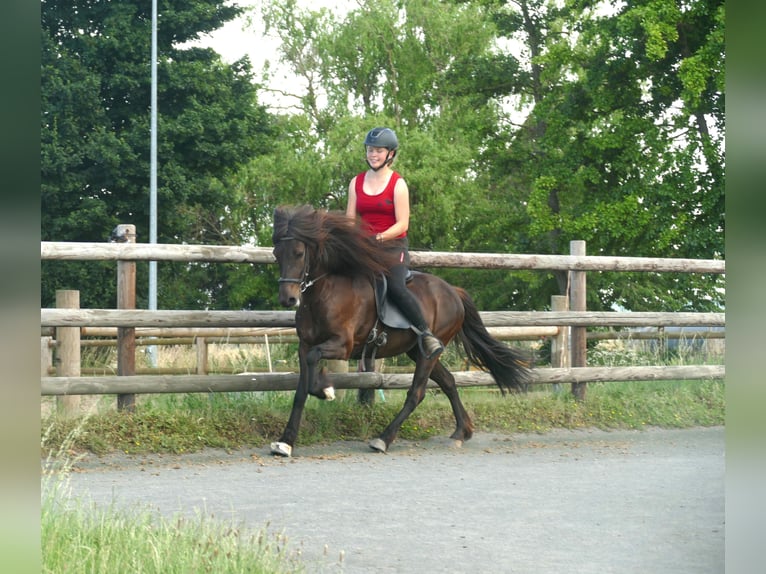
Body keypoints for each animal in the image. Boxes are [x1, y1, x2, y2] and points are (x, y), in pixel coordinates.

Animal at [270, 204, 531, 456]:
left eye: (299, 253)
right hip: (417, 351)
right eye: (276, 254)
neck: (326, 291)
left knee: (417, 393)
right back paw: (461, 431)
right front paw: (286, 441)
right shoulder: (305, 345)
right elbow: (301, 390)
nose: (287, 299)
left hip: (428, 352)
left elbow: (314, 366)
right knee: (448, 381)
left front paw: (326, 389)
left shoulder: (342, 345)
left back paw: (383, 439)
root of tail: (453, 291)